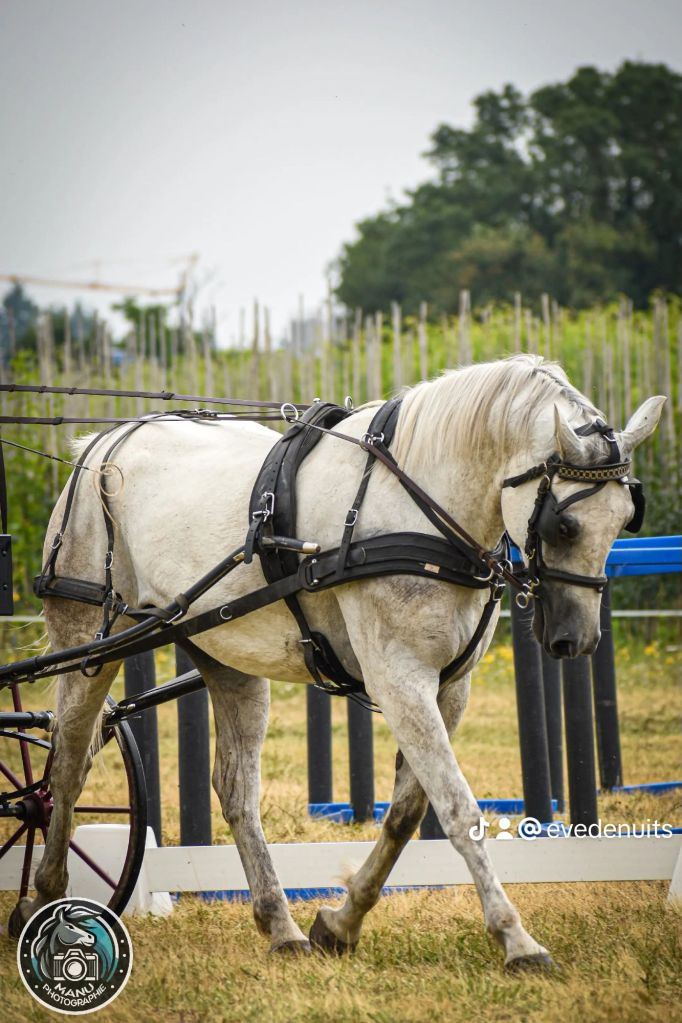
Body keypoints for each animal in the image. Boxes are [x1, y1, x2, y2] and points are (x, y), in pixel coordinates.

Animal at [9, 354, 664, 970]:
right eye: (565, 523)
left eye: (624, 518)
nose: (576, 640)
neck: (414, 503)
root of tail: (101, 446)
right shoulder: (399, 679)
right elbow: (457, 807)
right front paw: (516, 938)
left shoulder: (449, 688)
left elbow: (407, 811)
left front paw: (340, 922)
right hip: (91, 640)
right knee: (67, 768)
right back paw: (43, 896)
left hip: (224, 656)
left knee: (234, 790)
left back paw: (281, 927)